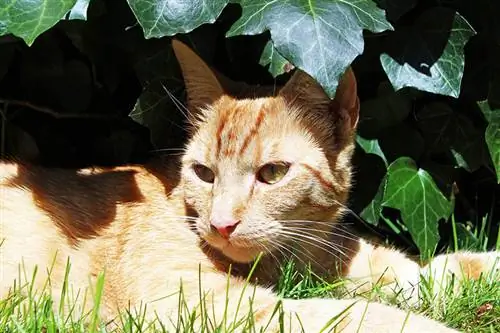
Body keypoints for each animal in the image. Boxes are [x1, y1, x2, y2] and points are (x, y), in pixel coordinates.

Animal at [0, 39, 496, 332]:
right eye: (204, 173)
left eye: (272, 173)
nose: (221, 224)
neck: (280, 263)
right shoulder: (195, 302)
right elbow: (342, 315)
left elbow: (437, 270)